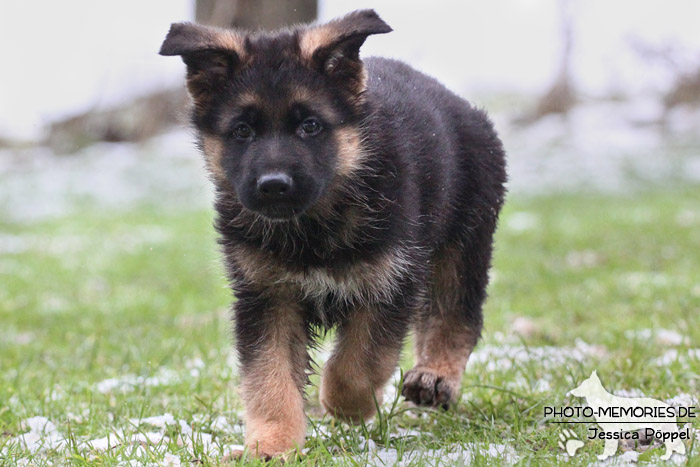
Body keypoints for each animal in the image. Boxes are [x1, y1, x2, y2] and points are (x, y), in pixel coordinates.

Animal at [161, 9, 506, 458]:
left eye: (310, 126)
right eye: (242, 131)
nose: (273, 185)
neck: (313, 227)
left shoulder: (390, 282)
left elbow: (359, 362)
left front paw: (346, 405)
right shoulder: (267, 296)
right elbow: (269, 376)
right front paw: (272, 444)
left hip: (464, 239)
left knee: (455, 313)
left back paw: (435, 377)